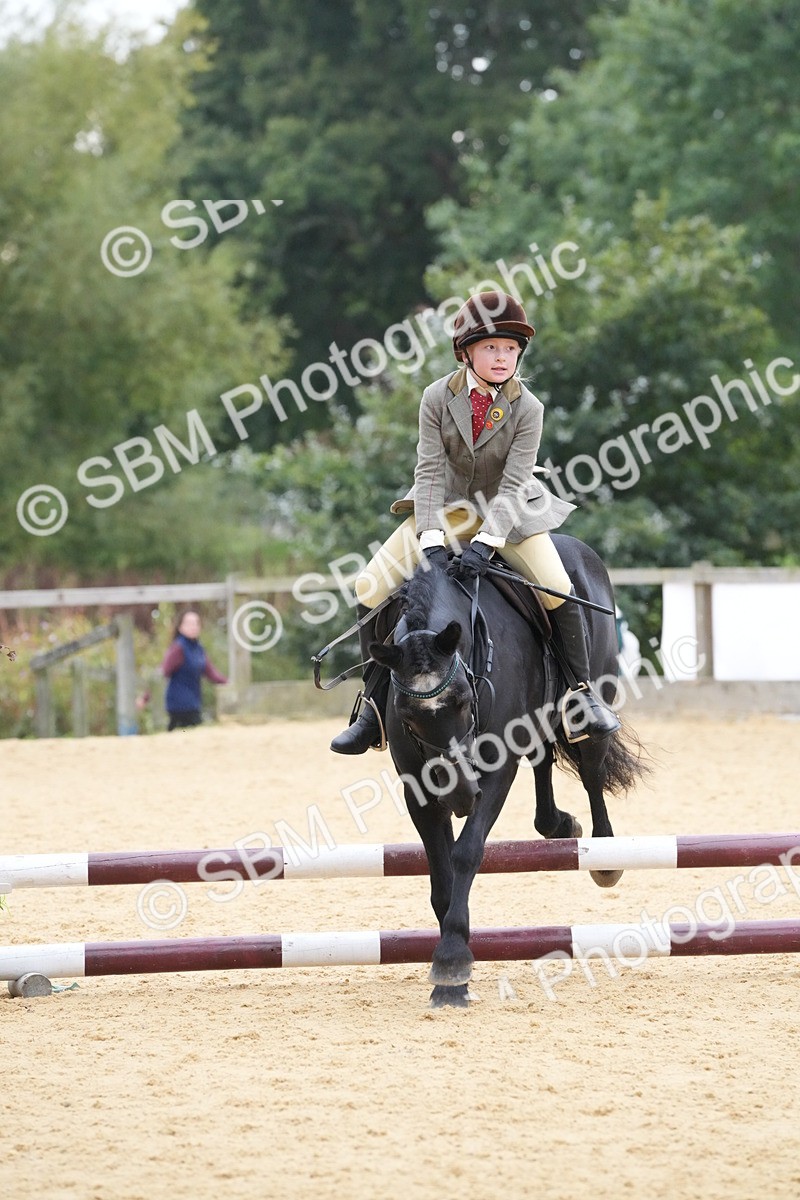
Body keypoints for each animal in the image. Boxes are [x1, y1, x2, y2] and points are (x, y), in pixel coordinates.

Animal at [368, 533, 648, 1008]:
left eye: (464, 700)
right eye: (406, 716)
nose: (460, 795)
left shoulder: (496, 773)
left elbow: (465, 853)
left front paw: (451, 960)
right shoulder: (417, 785)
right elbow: (441, 871)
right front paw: (454, 967)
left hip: (597, 685)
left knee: (592, 767)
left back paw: (605, 854)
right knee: (543, 761)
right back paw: (559, 824)